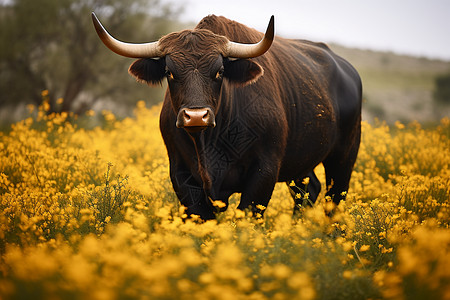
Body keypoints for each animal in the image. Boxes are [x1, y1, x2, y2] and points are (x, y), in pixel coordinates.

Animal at [91, 12, 362, 219]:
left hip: (344, 156)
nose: (196, 116)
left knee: (334, 199)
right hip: (301, 162)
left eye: (219, 71)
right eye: (169, 72)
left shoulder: (264, 172)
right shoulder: (181, 175)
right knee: (309, 190)